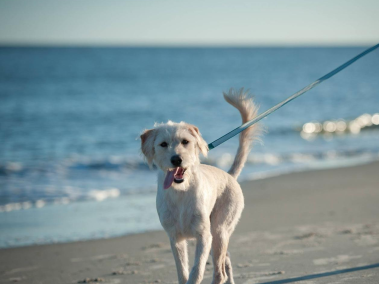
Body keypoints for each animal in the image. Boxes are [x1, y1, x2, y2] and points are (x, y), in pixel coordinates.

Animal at [141, 89, 260, 284]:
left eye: (185, 141)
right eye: (163, 144)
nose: (176, 159)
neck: (181, 192)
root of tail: (229, 176)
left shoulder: (204, 236)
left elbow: (196, 270)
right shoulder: (175, 239)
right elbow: (183, 272)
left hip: (218, 231)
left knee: (220, 272)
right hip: (216, 239)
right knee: (226, 261)